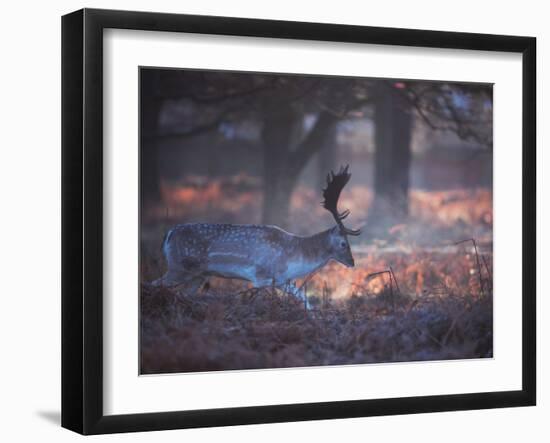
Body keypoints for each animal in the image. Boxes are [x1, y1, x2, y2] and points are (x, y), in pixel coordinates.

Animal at [154, 165, 362, 306]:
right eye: (344, 243)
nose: (352, 262)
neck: (294, 258)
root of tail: (168, 234)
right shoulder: (261, 276)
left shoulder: (282, 280)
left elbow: (305, 301)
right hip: (179, 267)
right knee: (155, 284)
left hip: (198, 275)